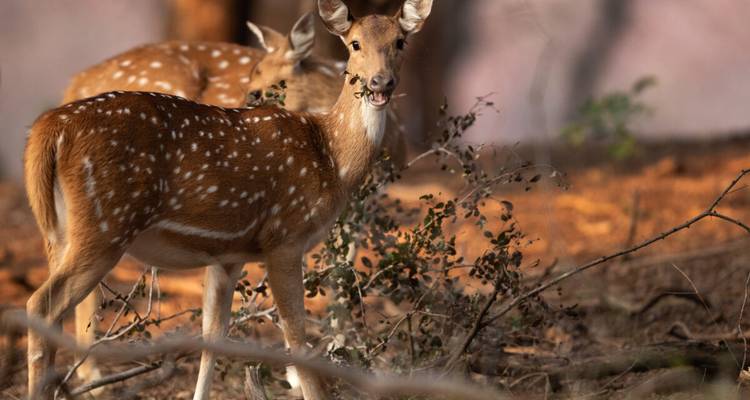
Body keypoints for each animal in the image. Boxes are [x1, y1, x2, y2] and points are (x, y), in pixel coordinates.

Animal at [23, 0, 432, 399]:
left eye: (400, 42)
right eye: (354, 44)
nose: (381, 82)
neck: (331, 158)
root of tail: (50, 126)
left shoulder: (228, 254)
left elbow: (214, 337)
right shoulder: (285, 237)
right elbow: (297, 336)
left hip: (59, 231)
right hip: (106, 222)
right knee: (41, 304)